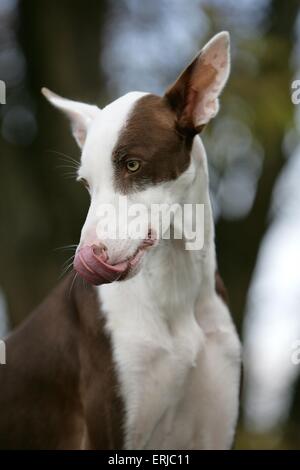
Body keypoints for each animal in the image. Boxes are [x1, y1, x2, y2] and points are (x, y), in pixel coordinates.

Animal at [0, 31, 240, 450]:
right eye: (86, 184)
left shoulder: (213, 431)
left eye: (132, 164)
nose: (87, 255)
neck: (177, 290)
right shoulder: (111, 426)